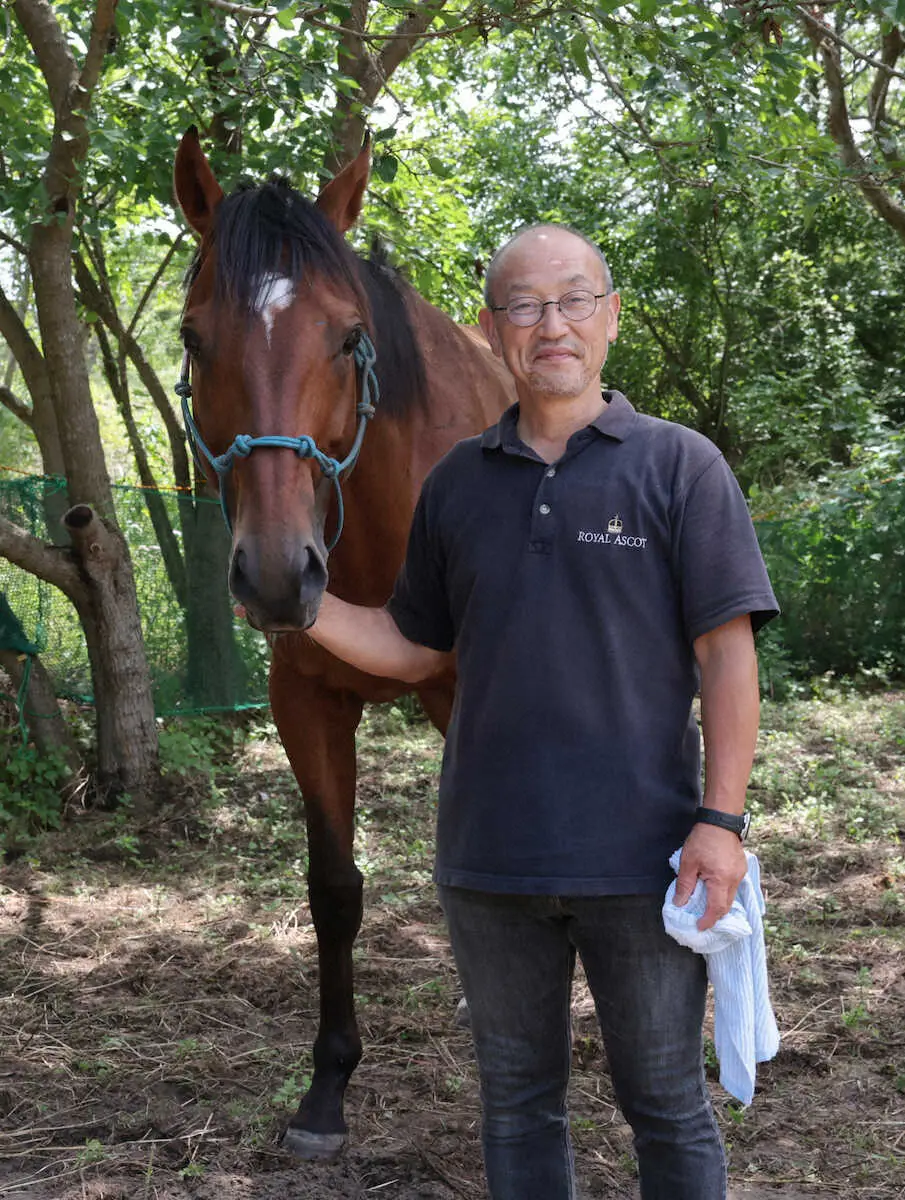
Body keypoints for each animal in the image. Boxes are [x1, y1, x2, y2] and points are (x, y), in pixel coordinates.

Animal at [171, 131, 513, 1161]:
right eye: (195, 338)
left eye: (347, 334)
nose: (279, 575)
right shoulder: (306, 705)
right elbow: (333, 888)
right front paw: (327, 1088)